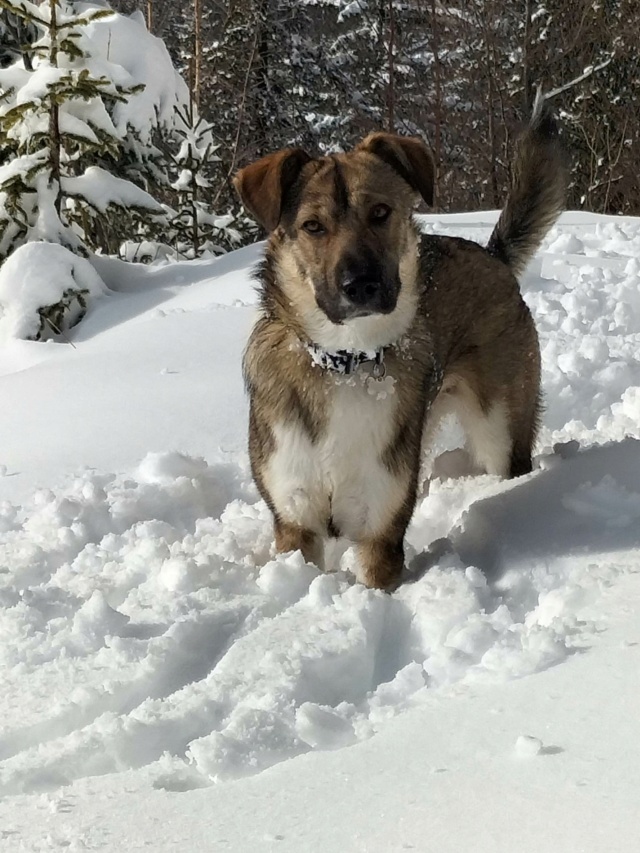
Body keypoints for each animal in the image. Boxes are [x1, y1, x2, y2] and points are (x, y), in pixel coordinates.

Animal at [235, 96, 564, 588]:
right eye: (312, 226)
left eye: (380, 212)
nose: (361, 285)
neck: (346, 360)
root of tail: (492, 256)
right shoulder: (295, 521)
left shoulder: (380, 530)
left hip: (501, 428)